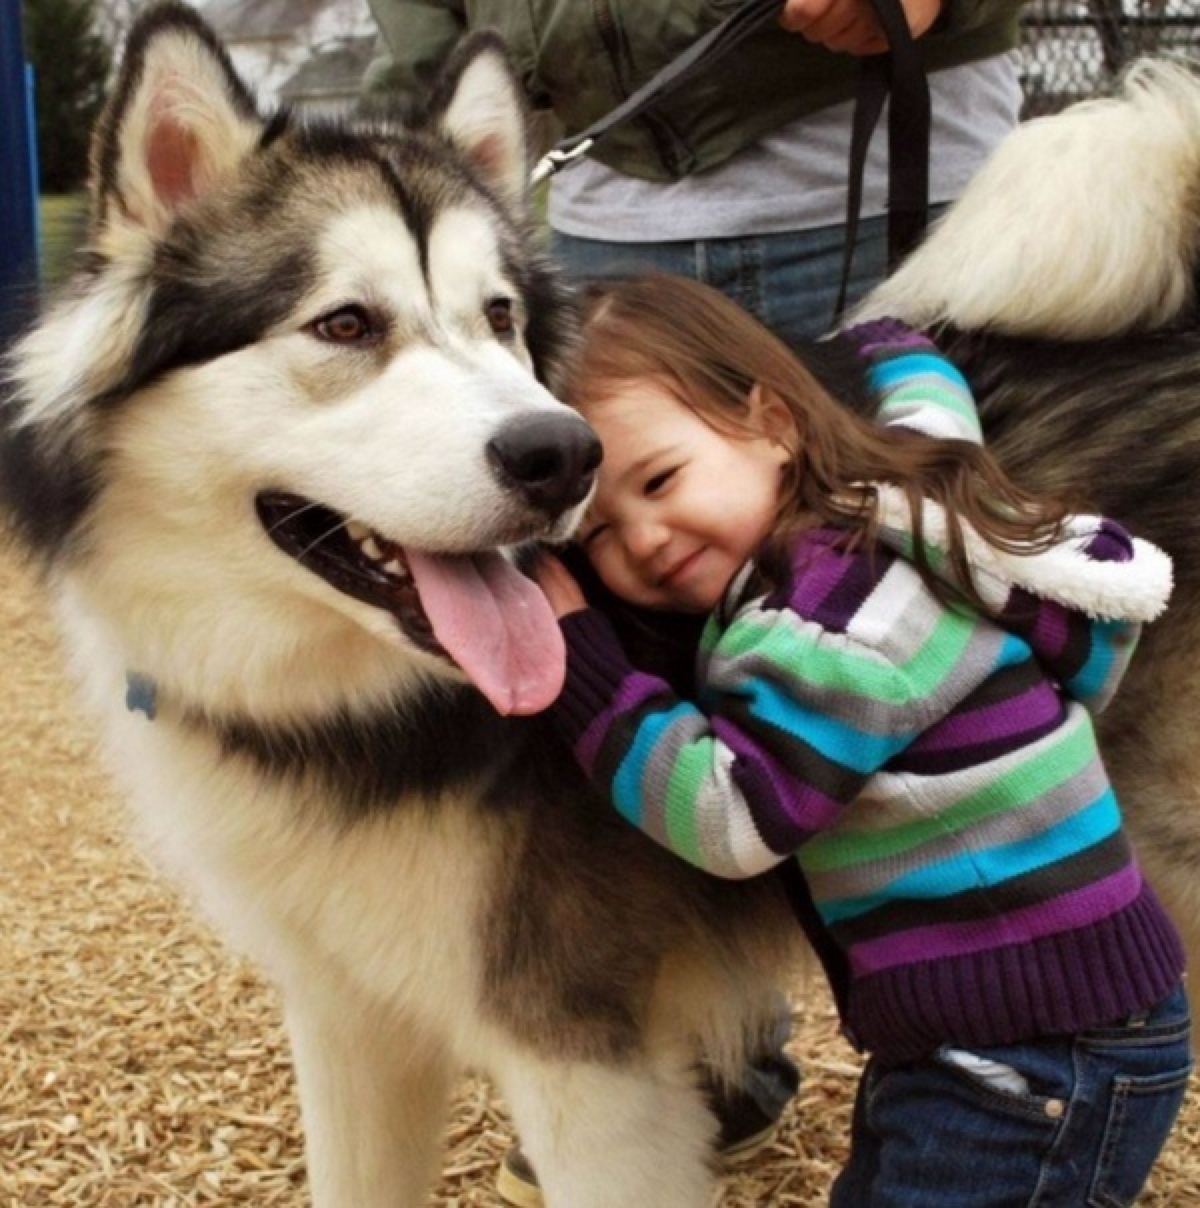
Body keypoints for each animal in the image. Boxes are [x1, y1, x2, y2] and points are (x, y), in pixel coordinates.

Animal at [7, 2, 1198, 1208]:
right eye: (343, 324)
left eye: (499, 316)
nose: (561, 453)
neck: (356, 711)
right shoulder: (349, 1014)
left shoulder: (586, 1063)